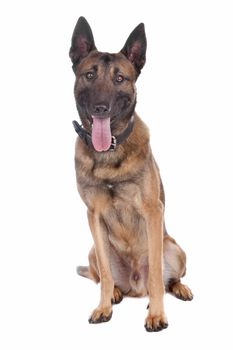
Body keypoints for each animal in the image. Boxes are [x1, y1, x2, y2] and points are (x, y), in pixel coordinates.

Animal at [69, 16, 193, 332]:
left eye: (120, 79)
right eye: (89, 75)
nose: (101, 107)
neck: (110, 151)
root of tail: (135, 286)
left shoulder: (152, 211)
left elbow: (157, 278)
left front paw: (157, 315)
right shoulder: (93, 215)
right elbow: (104, 276)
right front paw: (103, 307)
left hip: (173, 247)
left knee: (166, 279)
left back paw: (177, 289)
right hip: (93, 251)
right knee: (105, 276)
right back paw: (115, 293)